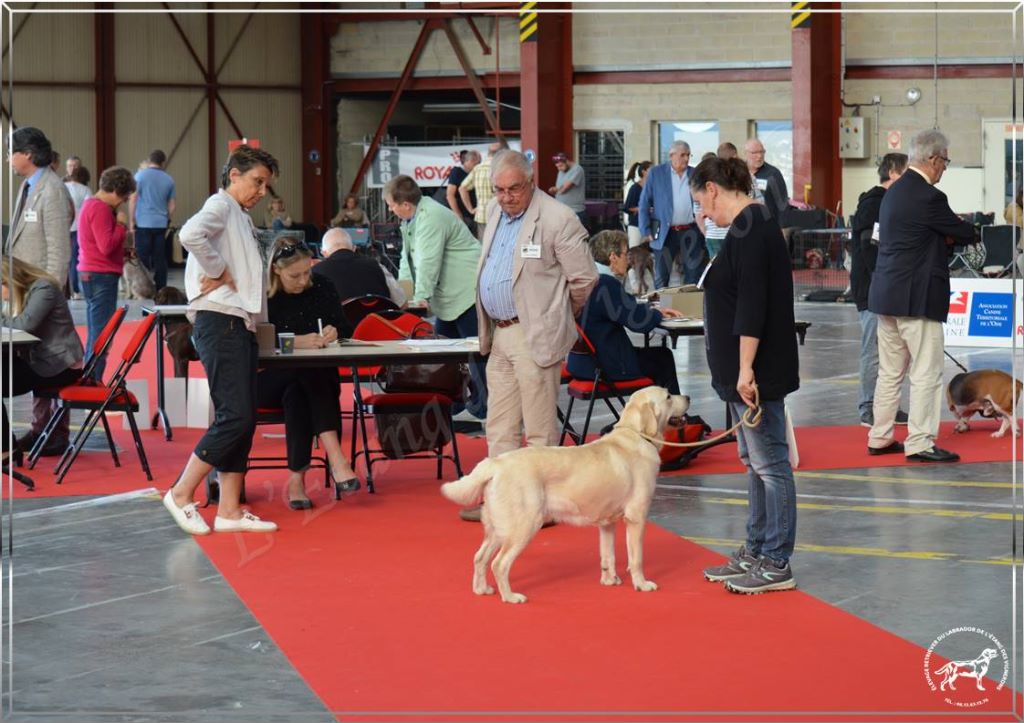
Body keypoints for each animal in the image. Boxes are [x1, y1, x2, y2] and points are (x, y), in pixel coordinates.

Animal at [440, 385, 688, 598]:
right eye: (668, 396)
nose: (687, 397)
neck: (638, 435)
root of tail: (495, 463)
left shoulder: (607, 523)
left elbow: (607, 555)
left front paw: (610, 581)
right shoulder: (636, 517)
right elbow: (636, 559)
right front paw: (642, 584)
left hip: (497, 528)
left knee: (480, 558)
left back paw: (482, 590)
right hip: (523, 525)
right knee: (499, 564)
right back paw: (511, 597)